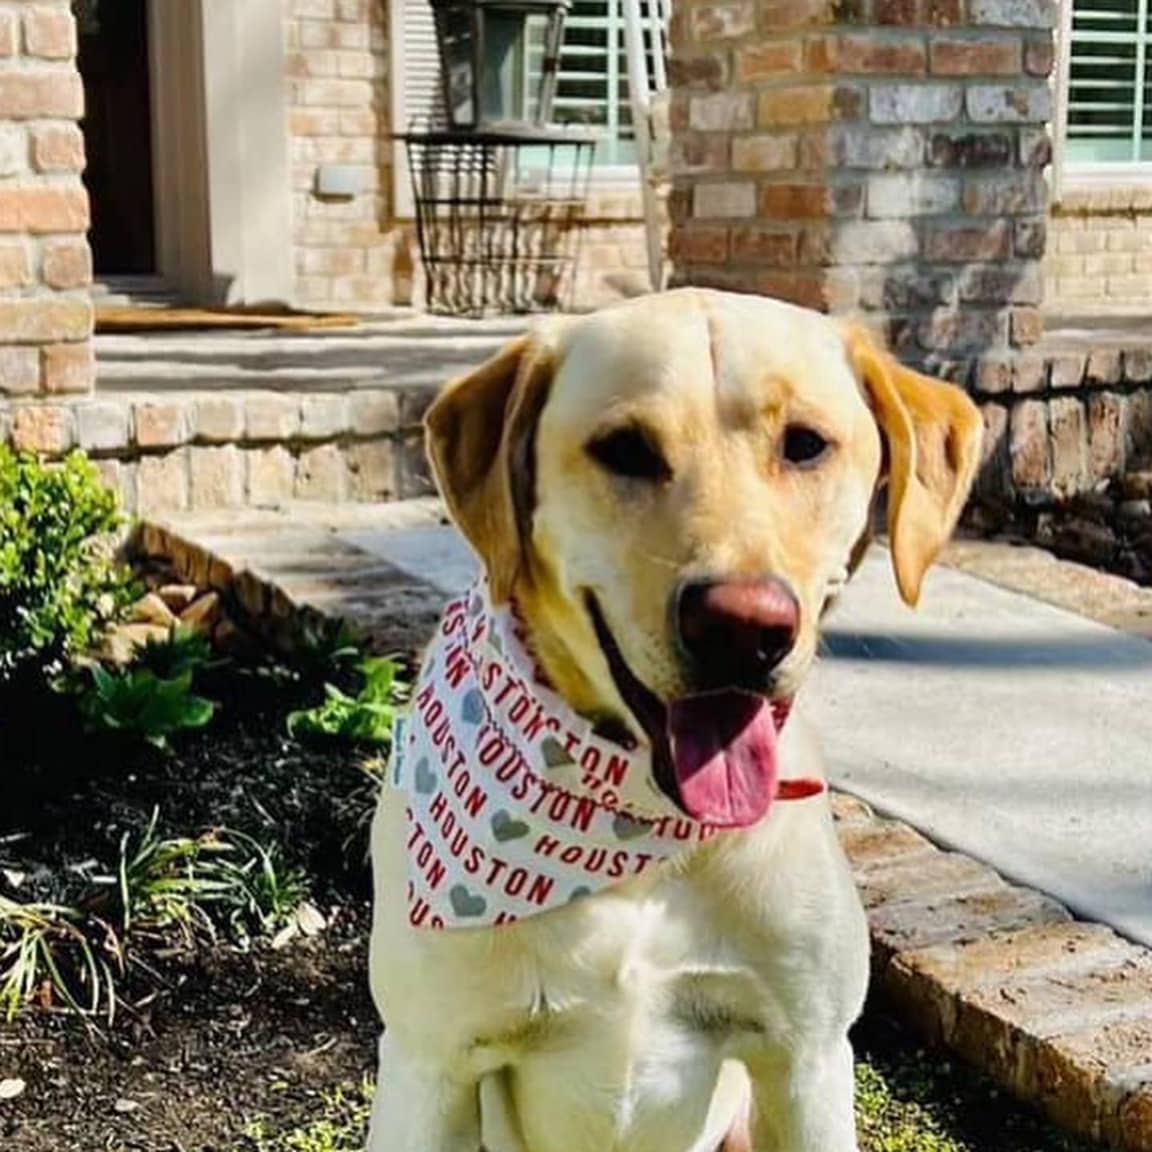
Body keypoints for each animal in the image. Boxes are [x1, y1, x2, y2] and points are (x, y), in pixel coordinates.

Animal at [366, 288, 981, 1152]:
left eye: (805, 445)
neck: (639, 836)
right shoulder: (429, 1068)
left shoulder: (808, 1062)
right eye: (624, 448)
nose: (743, 628)